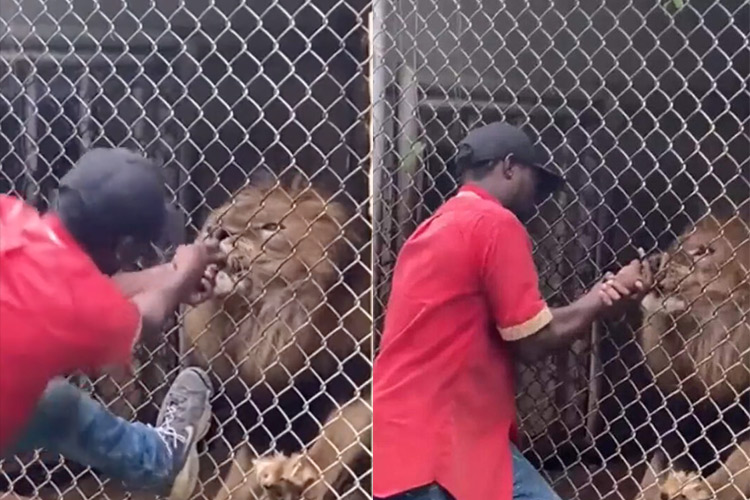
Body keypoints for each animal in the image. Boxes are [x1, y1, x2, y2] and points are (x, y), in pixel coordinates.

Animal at [181, 177, 372, 500]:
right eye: (218, 220)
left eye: (271, 227)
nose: (215, 231)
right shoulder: (262, 415)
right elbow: (237, 483)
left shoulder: (359, 377)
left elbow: (337, 434)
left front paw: (295, 475)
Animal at [640, 214, 750, 500]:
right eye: (677, 243)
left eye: (704, 251)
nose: (654, 262)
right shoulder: (679, 418)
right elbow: (653, 476)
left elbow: (735, 471)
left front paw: (694, 490)